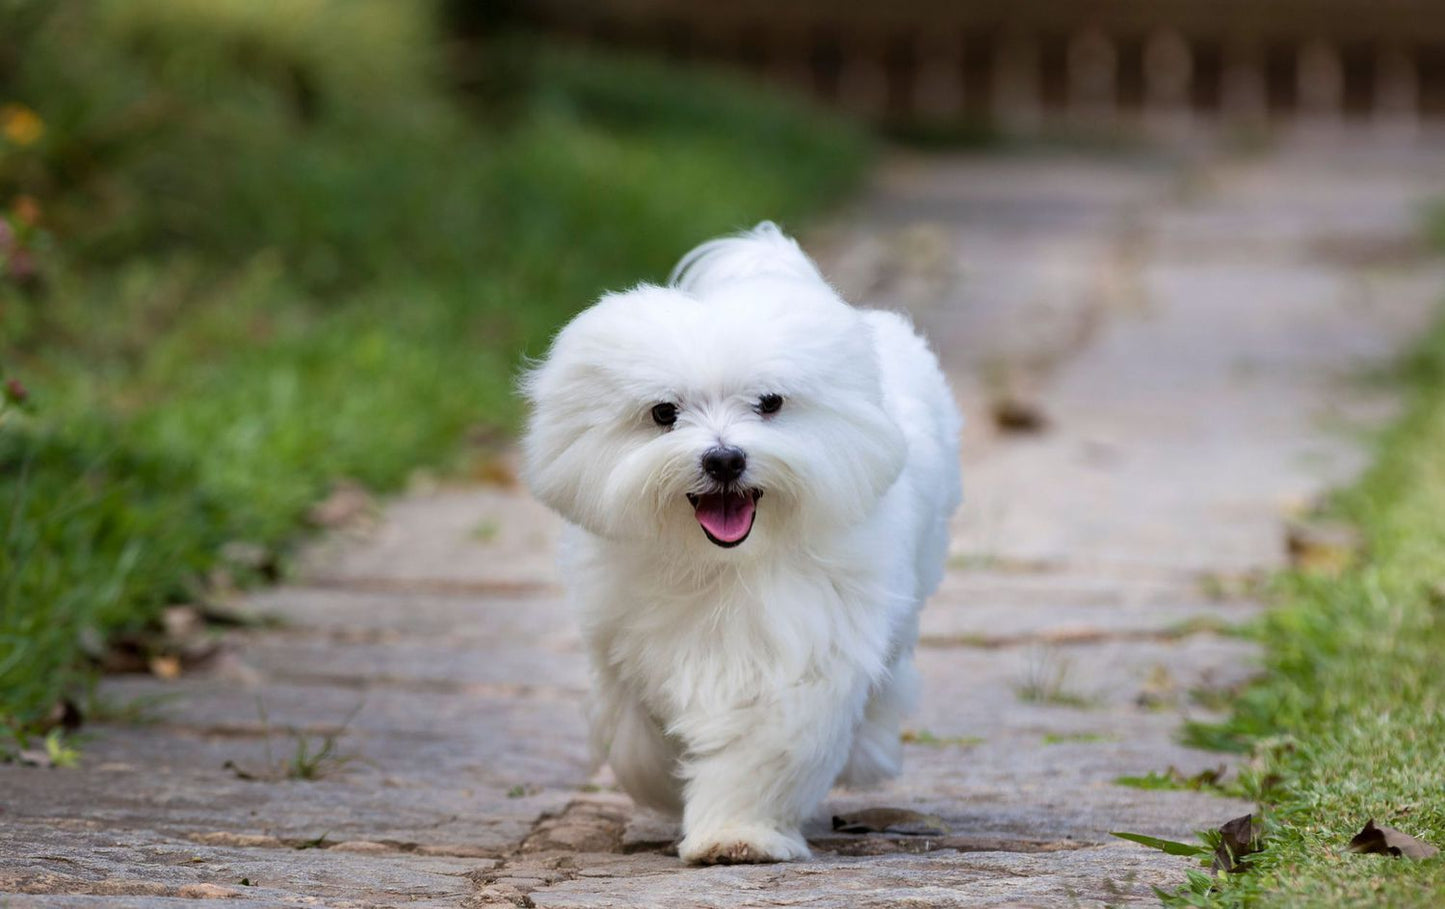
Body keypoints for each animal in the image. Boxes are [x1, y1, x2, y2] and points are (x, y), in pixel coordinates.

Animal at [520, 221, 959, 867]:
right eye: (664, 412)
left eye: (769, 403)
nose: (724, 458)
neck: (718, 565)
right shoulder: (620, 645)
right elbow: (635, 739)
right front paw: (669, 785)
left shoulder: (801, 651)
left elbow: (762, 750)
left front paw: (736, 834)